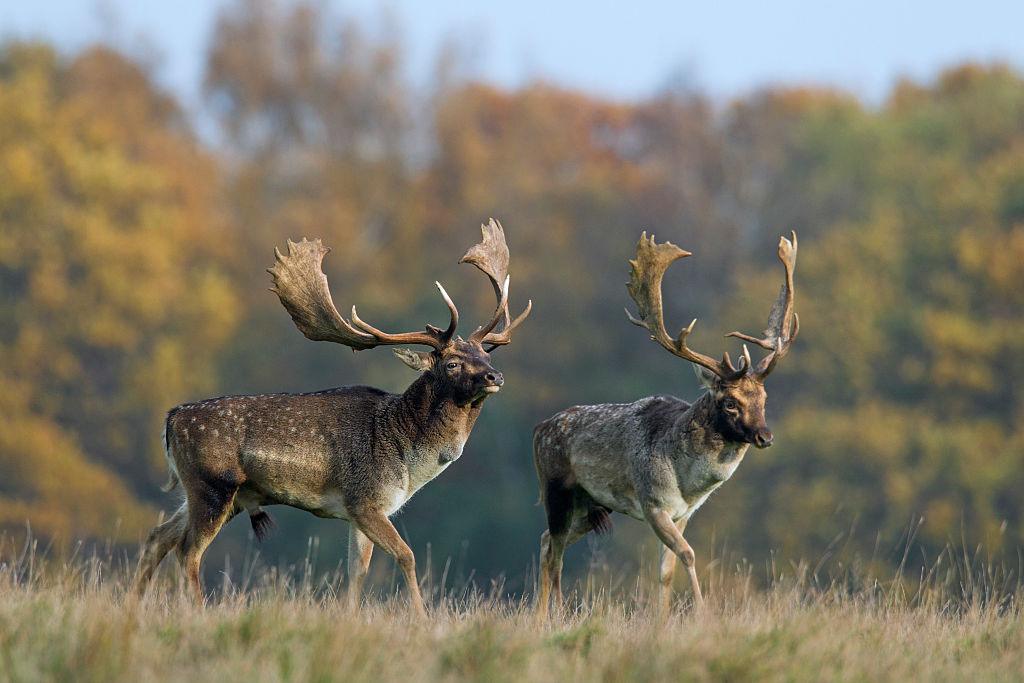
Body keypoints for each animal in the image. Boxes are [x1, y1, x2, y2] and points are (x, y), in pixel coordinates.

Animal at [134, 222, 528, 618]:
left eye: (485, 355)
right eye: (452, 363)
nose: (495, 376)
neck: (408, 454)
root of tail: (170, 420)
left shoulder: (363, 512)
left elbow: (358, 571)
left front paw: (350, 616)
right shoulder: (366, 499)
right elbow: (407, 555)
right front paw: (421, 616)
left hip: (210, 494)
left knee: (157, 537)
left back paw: (133, 605)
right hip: (212, 485)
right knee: (187, 550)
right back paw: (196, 610)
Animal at [532, 232, 794, 618]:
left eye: (763, 398)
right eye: (730, 402)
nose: (765, 435)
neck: (687, 482)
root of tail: (538, 430)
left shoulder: (684, 513)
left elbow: (666, 571)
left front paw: (663, 619)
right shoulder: (653, 502)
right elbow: (688, 554)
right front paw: (702, 613)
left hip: (592, 505)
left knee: (546, 541)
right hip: (556, 491)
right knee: (555, 552)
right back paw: (548, 617)